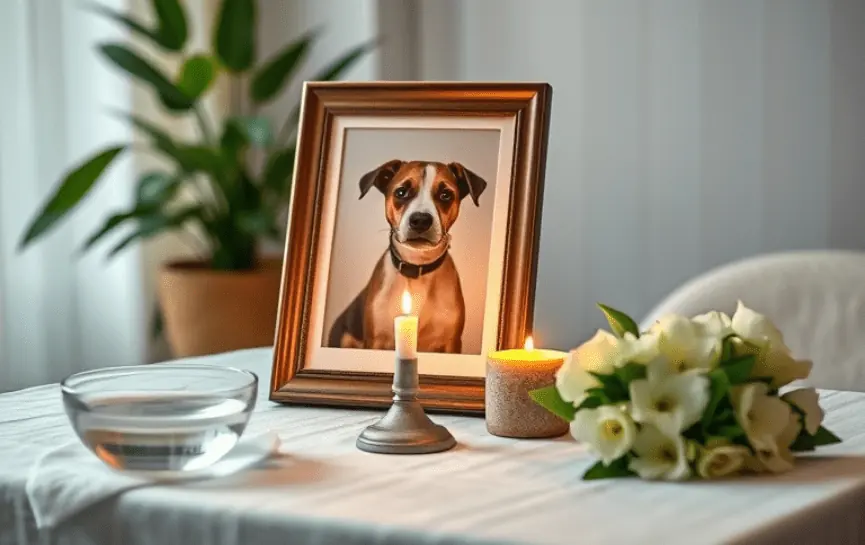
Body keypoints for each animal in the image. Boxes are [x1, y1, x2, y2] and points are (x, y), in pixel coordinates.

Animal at [324, 158, 486, 352]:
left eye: (445, 195)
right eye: (401, 192)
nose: (421, 220)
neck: (417, 266)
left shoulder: (451, 343)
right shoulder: (375, 341)